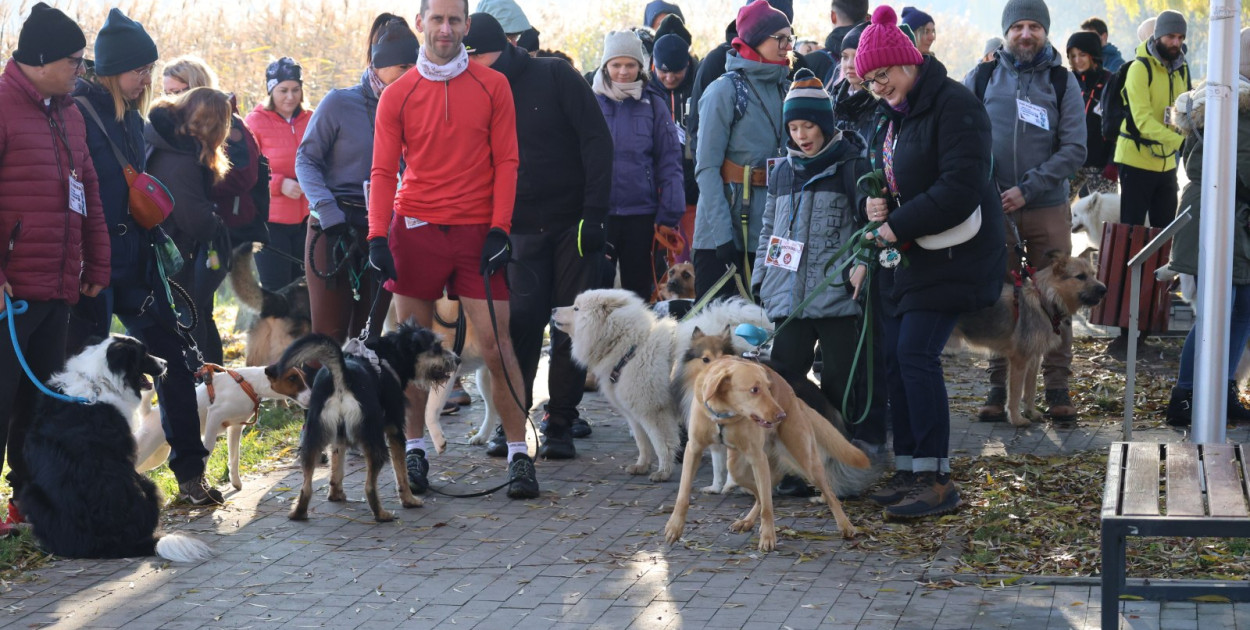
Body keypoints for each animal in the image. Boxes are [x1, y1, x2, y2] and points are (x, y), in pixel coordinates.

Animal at [18, 335, 210, 560]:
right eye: (143, 353)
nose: (166, 363)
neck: (98, 382)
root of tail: (108, 542)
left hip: (32, 495)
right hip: (147, 484)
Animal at [268, 322, 460, 525]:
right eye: (437, 347)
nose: (458, 359)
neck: (389, 355)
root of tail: (343, 375)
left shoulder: (339, 436)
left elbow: (336, 466)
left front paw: (335, 494)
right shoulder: (395, 429)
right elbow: (401, 472)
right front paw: (409, 499)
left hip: (313, 437)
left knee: (306, 486)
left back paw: (299, 512)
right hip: (374, 440)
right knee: (369, 487)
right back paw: (382, 514)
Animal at [665, 360, 870, 550]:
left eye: (769, 388)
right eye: (754, 390)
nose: (781, 416)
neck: (723, 414)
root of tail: (795, 398)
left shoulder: (757, 458)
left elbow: (768, 508)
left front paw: (768, 537)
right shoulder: (694, 449)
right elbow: (682, 495)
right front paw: (674, 527)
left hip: (806, 462)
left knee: (828, 495)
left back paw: (846, 526)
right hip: (738, 469)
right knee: (760, 495)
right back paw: (746, 521)